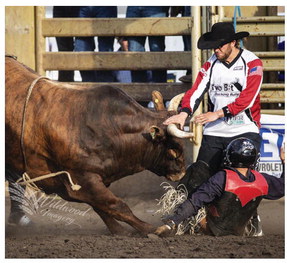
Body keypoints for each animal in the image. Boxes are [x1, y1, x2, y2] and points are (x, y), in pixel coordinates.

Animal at [4, 56, 192, 235]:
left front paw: (119, 230)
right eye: (173, 151)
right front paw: (151, 229)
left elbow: (101, 207)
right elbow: (116, 205)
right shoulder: (81, 178)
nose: (181, 173)